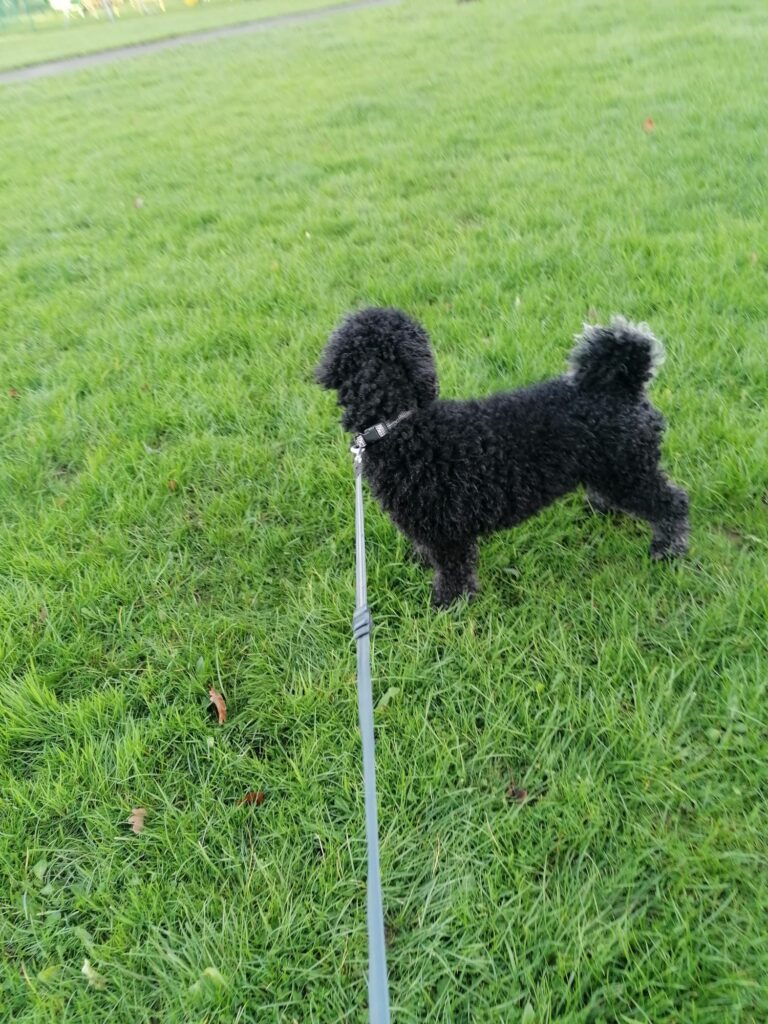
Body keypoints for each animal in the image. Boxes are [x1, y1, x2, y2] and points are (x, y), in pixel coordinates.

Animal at [316, 307, 689, 607]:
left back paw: (669, 549)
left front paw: (449, 605)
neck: (399, 424)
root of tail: (623, 389)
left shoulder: (449, 532)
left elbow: (453, 572)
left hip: (628, 471)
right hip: (610, 467)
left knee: (673, 502)